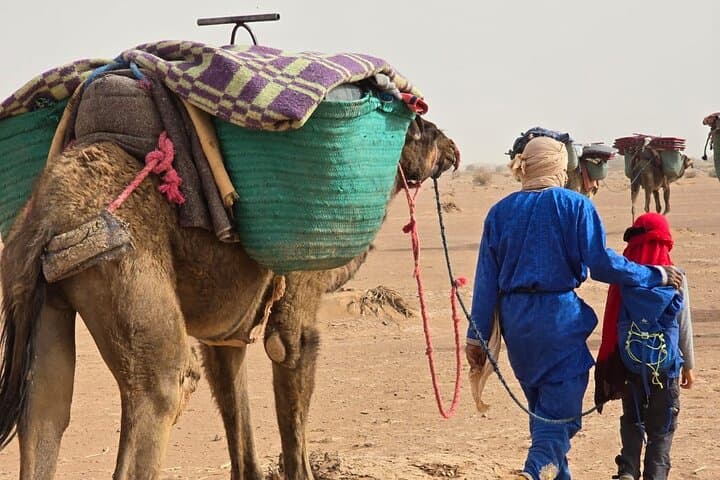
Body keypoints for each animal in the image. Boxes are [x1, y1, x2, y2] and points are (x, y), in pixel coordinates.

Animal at [0, 114, 458, 480]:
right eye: (423, 130)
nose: (453, 149)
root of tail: (49, 214)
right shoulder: (300, 292)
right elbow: (288, 357)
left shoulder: (226, 330)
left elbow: (236, 410)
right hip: (118, 261)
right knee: (165, 385)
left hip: (46, 290)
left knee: (44, 407)